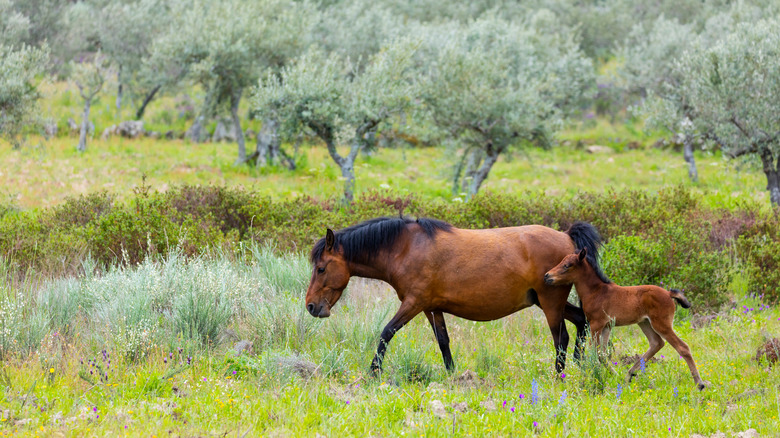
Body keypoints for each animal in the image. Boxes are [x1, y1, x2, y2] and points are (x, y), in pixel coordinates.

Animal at [305, 216, 608, 375]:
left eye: (321, 268)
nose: (310, 306)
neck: (406, 248)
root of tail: (566, 236)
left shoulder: (413, 303)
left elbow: (386, 332)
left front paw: (373, 371)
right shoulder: (431, 307)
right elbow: (443, 341)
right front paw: (452, 374)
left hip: (550, 302)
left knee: (562, 338)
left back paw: (560, 375)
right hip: (545, 301)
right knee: (581, 322)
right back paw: (580, 365)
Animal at [543, 248, 708, 390]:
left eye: (567, 265)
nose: (547, 276)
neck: (597, 291)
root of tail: (668, 294)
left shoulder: (595, 324)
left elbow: (595, 353)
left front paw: (591, 379)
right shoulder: (606, 326)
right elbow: (602, 354)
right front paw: (615, 376)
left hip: (661, 324)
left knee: (682, 347)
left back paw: (699, 383)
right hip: (645, 323)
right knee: (656, 343)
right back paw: (629, 374)